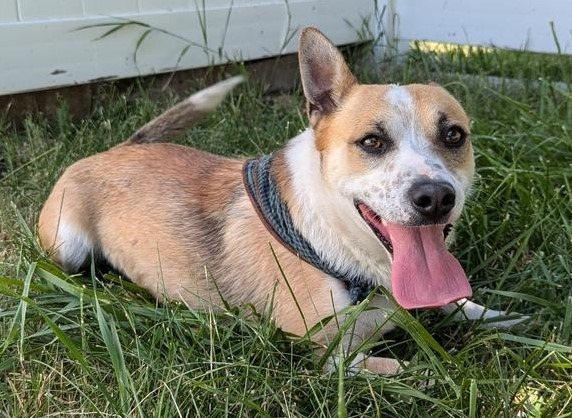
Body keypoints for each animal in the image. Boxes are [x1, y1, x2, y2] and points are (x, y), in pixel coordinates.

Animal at [38, 27, 524, 374]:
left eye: (454, 135)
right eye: (371, 142)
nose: (436, 197)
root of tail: (113, 150)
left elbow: (457, 300)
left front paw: (500, 317)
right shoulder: (332, 356)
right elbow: (413, 372)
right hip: (66, 245)